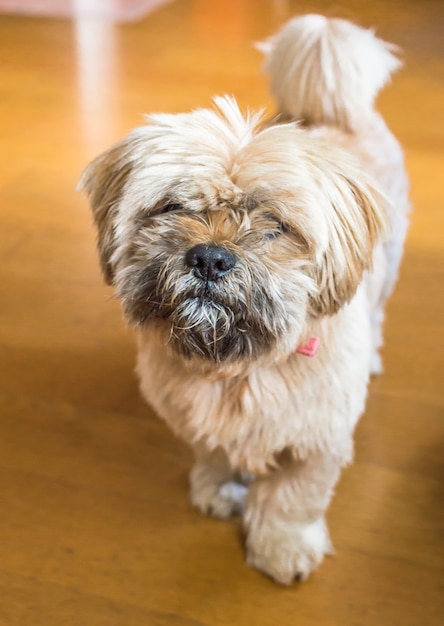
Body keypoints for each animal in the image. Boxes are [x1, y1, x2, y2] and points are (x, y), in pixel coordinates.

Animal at [79, 14, 410, 584]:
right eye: (173, 207)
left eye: (274, 225)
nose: (210, 258)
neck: (237, 367)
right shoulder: (195, 418)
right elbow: (213, 453)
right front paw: (218, 490)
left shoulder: (317, 441)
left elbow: (292, 499)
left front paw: (282, 548)